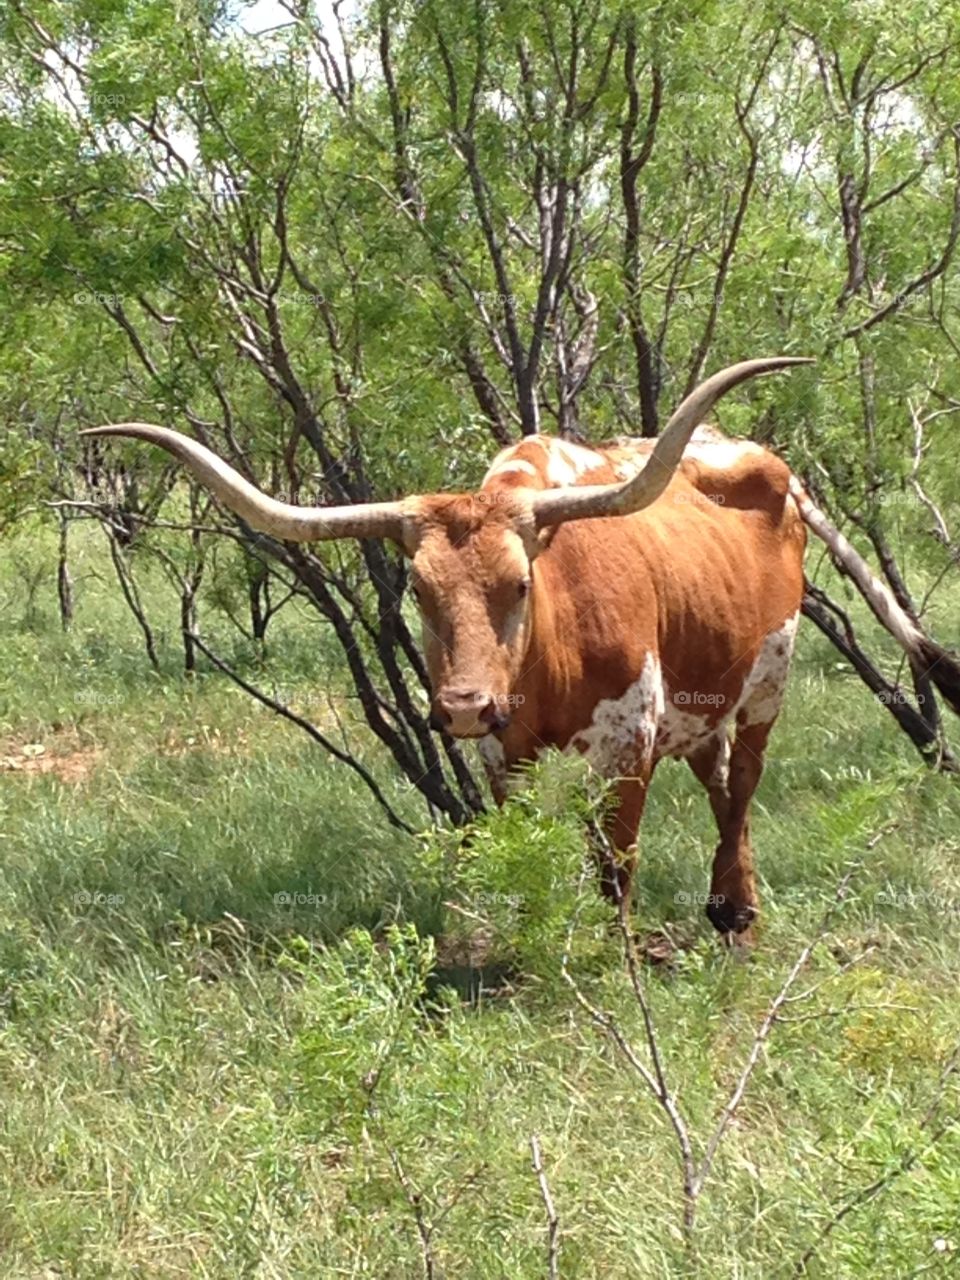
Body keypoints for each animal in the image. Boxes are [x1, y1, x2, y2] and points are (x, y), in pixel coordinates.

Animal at [82, 360, 957, 942]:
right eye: (419, 592)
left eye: (521, 583)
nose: (465, 706)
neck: (546, 662)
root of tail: (769, 462)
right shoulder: (508, 756)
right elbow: (525, 845)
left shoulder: (628, 742)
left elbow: (615, 861)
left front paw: (614, 954)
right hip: (701, 692)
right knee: (716, 779)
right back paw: (723, 903)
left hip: (769, 680)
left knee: (741, 783)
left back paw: (738, 911)